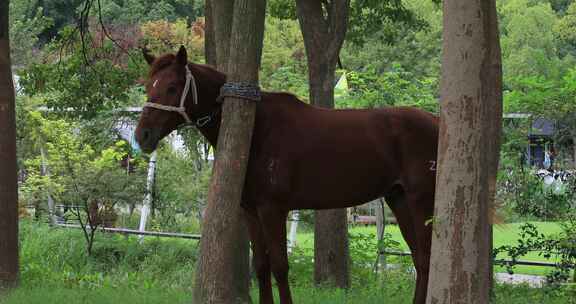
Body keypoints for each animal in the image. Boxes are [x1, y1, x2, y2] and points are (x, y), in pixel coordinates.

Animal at [135, 45, 436, 304]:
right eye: (147, 87)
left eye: (172, 87)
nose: (143, 136)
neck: (258, 129)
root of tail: (437, 122)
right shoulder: (251, 210)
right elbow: (261, 265)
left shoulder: (273, 209)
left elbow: (280, 265)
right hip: (399, 199)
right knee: (420, 259)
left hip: (421, 201)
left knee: (426, 256)